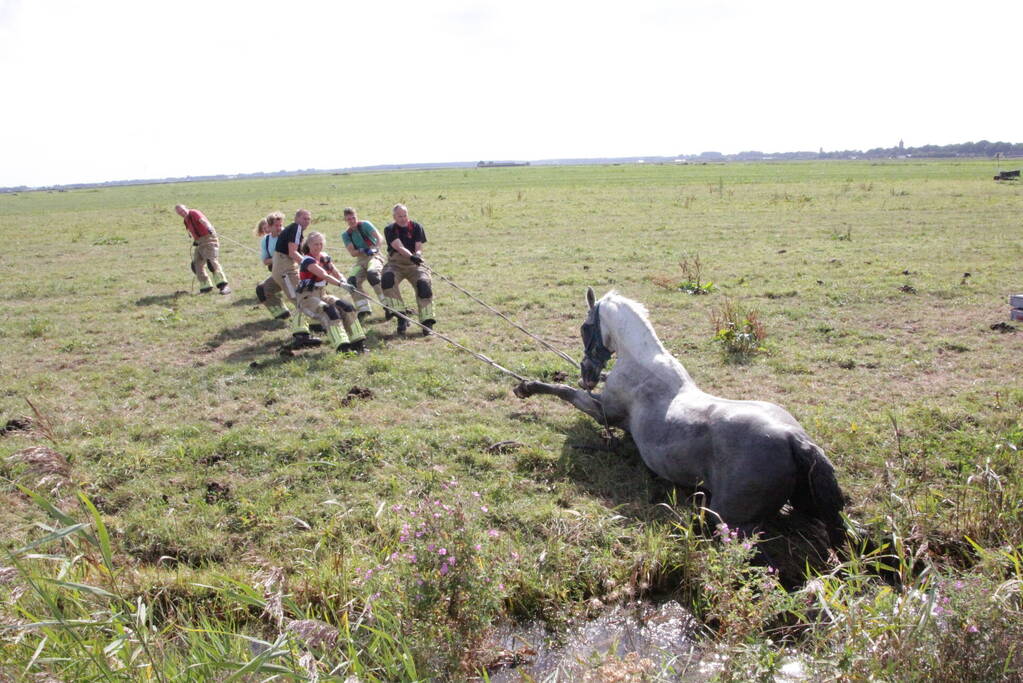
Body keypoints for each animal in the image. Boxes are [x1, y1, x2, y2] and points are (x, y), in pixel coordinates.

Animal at [514, 288, 847, 549]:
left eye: (585, 326)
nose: (587, 375)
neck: (641, 363)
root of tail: (794, 439)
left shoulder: (603, 412)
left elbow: (564, 392)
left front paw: (525, 388)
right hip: (803, 506)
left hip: (733, 523)